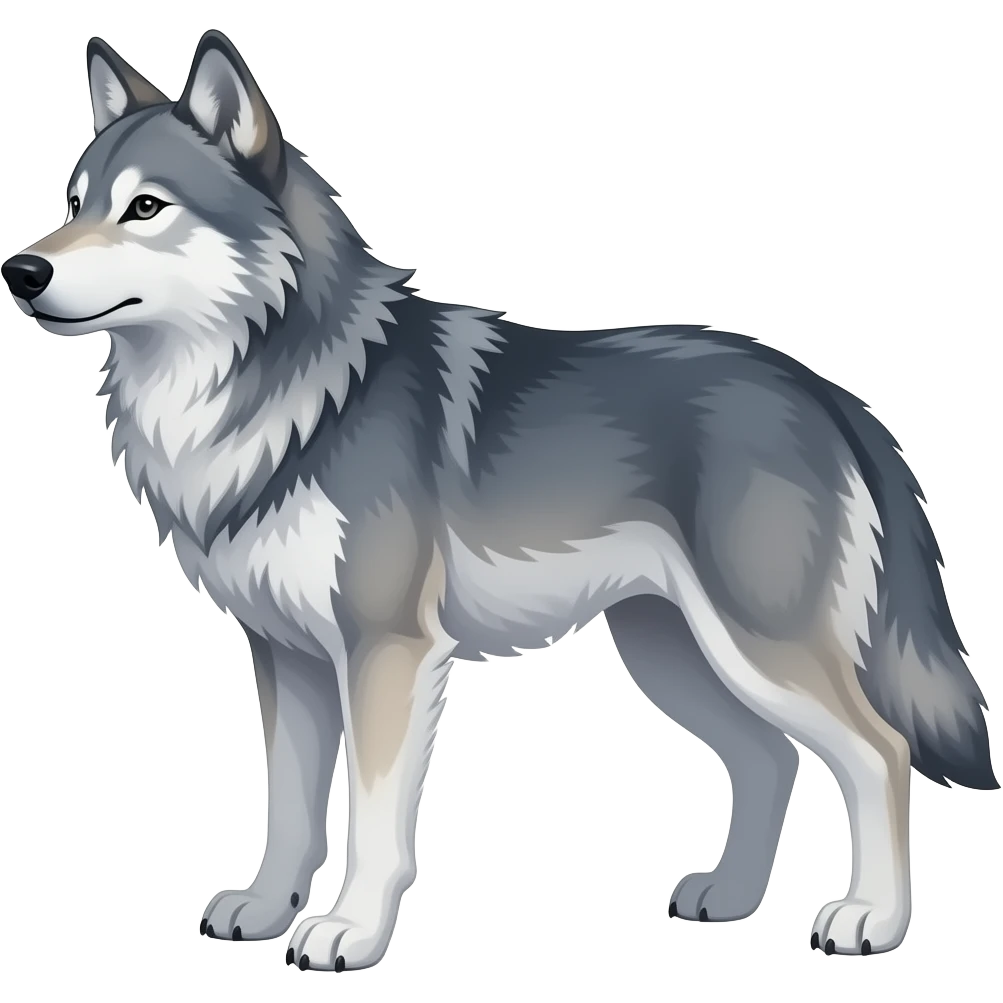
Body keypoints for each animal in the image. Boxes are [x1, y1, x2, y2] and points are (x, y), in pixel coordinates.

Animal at [2, 29, 996, 971]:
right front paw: (264, 907)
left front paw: (349, 932)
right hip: (672, 654)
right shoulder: (286, 656)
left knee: (878, 751)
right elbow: (288, 804)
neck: (283, 392)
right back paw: (729, 897)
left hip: (756, 648)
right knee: (771, 755)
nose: (21, 271)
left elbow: (373, 820)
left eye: (144, 208)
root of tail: (823, 389)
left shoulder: (388, 652)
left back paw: (870, 919)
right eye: (76, 202)